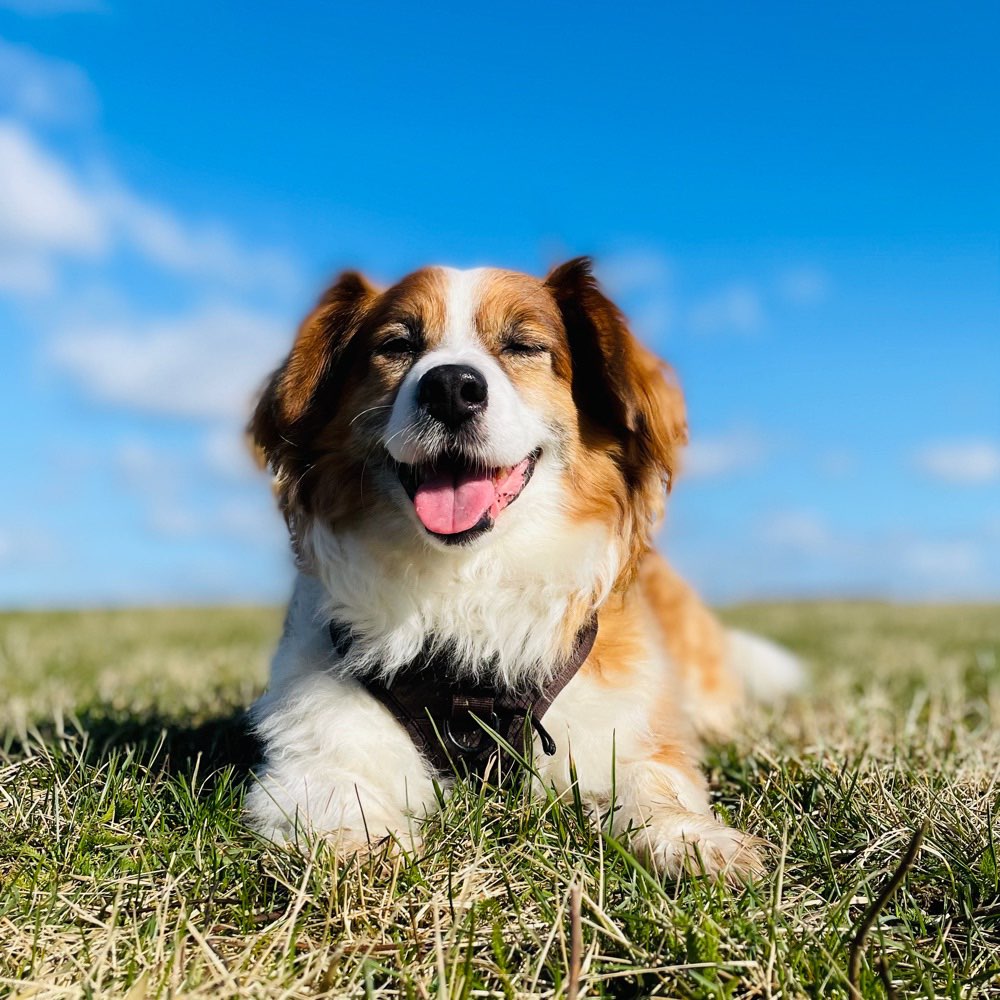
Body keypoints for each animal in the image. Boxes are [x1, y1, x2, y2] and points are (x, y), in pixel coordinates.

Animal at [246, 260, 800, 884]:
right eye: (397, 345)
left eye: (523, 346)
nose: (450, 387)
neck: (469, 582)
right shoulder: (311, 750)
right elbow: (337, 798)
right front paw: (369, 850)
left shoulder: (626, 726)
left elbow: (649, 782)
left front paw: (693, 842)